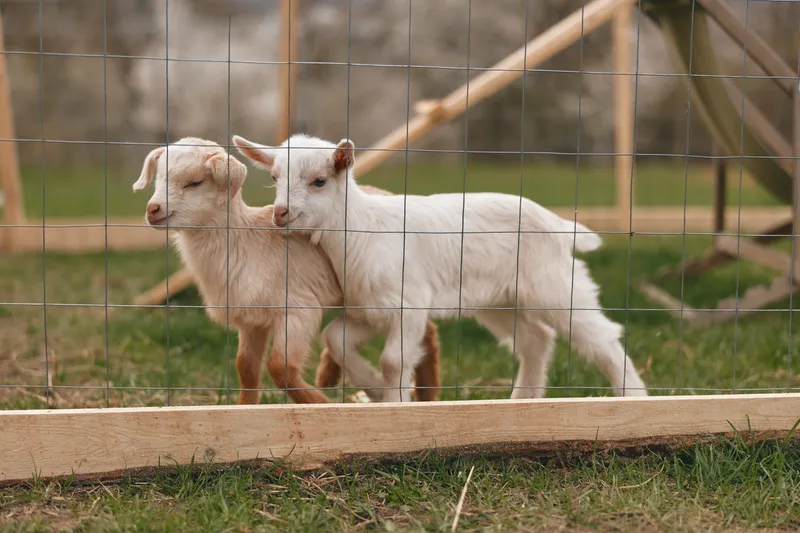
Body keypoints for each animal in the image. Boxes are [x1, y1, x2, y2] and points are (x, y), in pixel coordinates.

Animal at [132, 137, 441, 404]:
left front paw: (321, 404)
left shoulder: (298, 310)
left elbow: (279, 367)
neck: (244, 240)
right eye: (158, 178)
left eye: (194, 182)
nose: (152, 210)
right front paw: (245, 408)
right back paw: (424, 391)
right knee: (425, 329)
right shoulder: (252, 320)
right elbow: (246, 367)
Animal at [233, 133, 648, 402]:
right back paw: (521, 400)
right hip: (499, 299)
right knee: (535, 340)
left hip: (554, 285)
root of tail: (558, 223)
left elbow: (394, 359)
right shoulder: (368, 308)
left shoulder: (410, 304)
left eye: (319, 181)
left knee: (600, 336)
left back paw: (633, 397)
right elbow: (336, 339)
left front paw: (393, 401)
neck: (362, 230)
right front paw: (375, 388)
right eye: (275, 178)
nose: (281, 213)